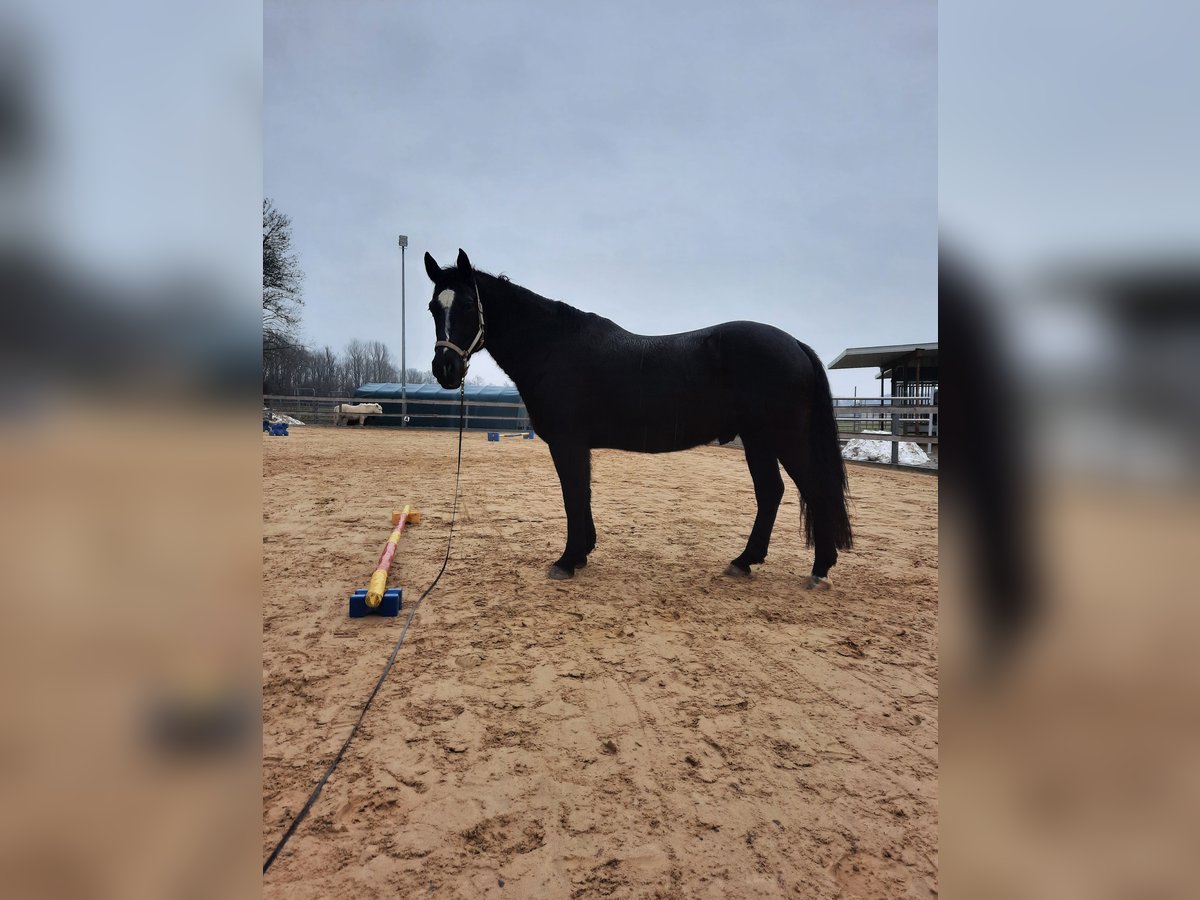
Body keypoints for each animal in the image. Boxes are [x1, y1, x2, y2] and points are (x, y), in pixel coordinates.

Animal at [424, 250, 854, 595]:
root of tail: (794, 344)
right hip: (758, 440)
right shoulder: (577, 446)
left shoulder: (567, 442)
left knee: (813, 491)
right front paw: (582, 554)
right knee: (771, 492)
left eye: (467, 304)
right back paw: (744, 561)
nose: (445, 369)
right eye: (432, 307)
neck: (553, 347)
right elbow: (583, 496)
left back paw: (819, 570)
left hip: (784, 438)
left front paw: (567, 560)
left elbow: (572, 497)